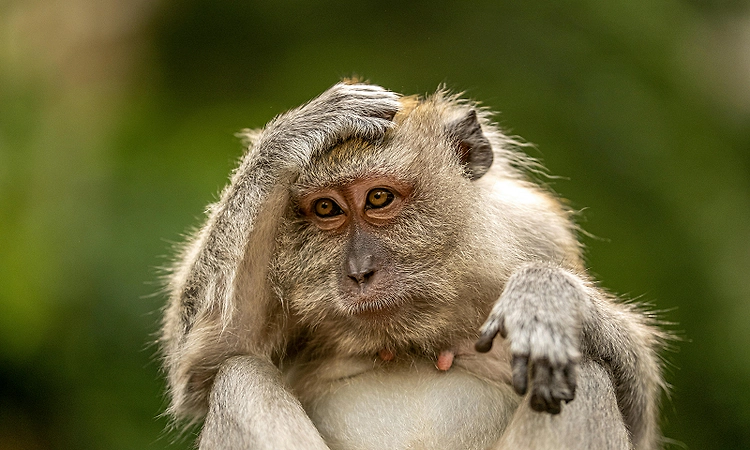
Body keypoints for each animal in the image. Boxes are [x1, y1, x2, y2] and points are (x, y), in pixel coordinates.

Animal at [160, 81, 666, 450]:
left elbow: (638, 414)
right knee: (239, 375)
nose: (359, 272)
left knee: (588, 377)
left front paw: (546, 298)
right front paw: (290, 137)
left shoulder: (537, 231)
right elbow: (208, 363)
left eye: (379, 198)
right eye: (326, 209)